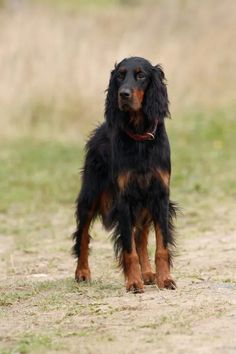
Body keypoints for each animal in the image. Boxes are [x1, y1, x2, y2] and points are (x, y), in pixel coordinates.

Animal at [72, 56, 177, 294]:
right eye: (120, 75)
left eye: (141, 75)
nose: (124, 94)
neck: (139, 138)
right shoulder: (124, 199)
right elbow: (129, 249)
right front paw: (133, 282)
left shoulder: (160, 195)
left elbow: (161, 245)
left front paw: (164, 279)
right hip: (90, 195)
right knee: (83, 235)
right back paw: (82, 272)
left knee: (141, 235)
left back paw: (148, 273)